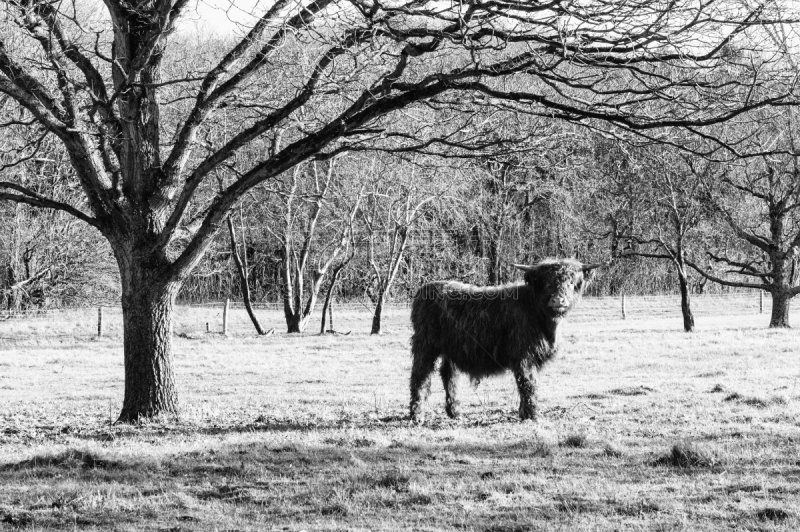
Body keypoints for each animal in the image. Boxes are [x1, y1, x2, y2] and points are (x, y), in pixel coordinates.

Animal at [410, 258, 596, 424]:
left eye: (571, 282)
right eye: (546, 282)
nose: (558, 300)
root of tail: (424, 289)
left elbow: (528, 383)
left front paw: (524, 413)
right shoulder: (523, 356)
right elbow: (528, 384)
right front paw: (531, 415)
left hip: (450, 348)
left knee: (449, 375)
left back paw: (455, 412)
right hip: (425, 346)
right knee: (420, 377)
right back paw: (417, 416)